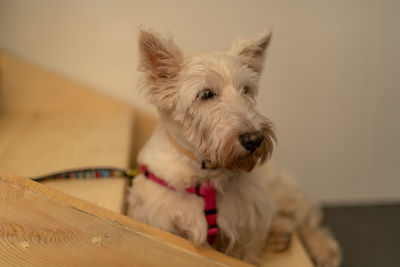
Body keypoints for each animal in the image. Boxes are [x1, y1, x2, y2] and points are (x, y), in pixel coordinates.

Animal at [128, 28, 340, 266]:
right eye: (205, 94)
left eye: (246, 90)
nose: (254, 139)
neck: (206, 175)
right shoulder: (162, 220)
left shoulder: (245, 230)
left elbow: (245, 254)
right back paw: (280, 236)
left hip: (281, 190)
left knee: (305, 218)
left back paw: (323, 250)